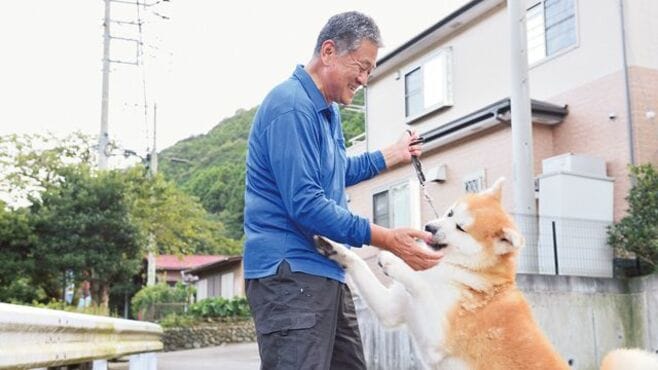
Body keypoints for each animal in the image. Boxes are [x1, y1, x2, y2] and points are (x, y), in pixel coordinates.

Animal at [314, 178, 656, 368]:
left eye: (461, 227)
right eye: (449, 213)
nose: (429, 227)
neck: (458, 272)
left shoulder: (435, 335)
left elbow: (418, 282)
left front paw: (394, 260)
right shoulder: (392, 311)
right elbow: (357, 263)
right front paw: (335, 246)